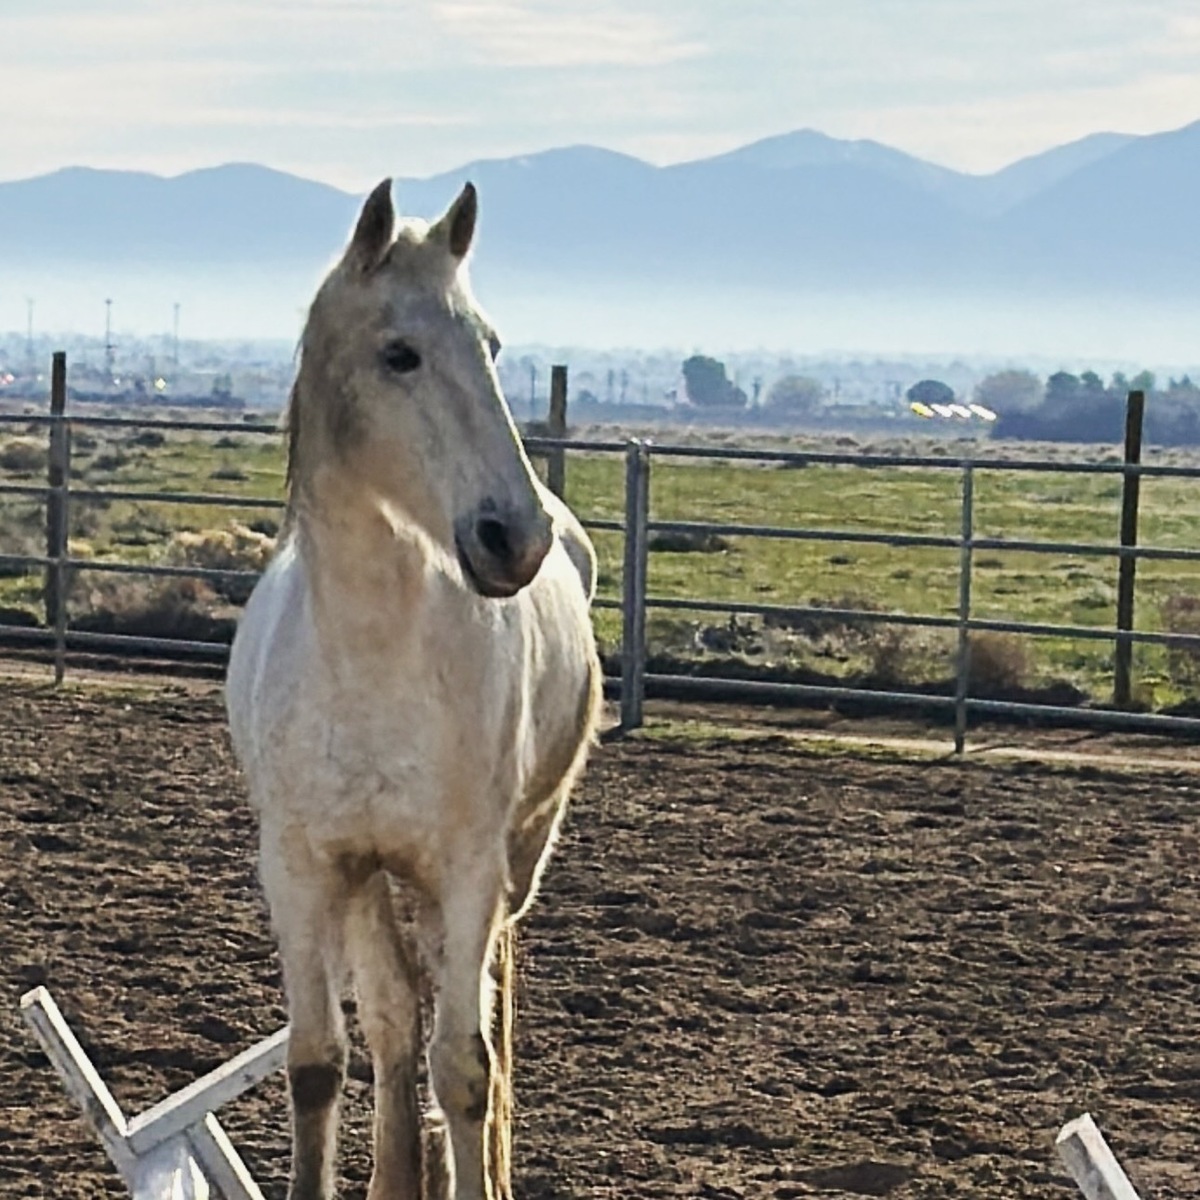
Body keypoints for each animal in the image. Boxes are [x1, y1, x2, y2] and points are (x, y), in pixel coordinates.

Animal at [225, 177, 602, 1200]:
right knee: (395, 1022)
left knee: (479, 1020)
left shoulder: (470, 867)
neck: (370, 663)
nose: (514, 537)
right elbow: (322, 1059)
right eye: (400, 353)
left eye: (494, 346)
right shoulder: (305, 867)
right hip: (371, 880)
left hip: (507, 862)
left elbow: (466, 1065)